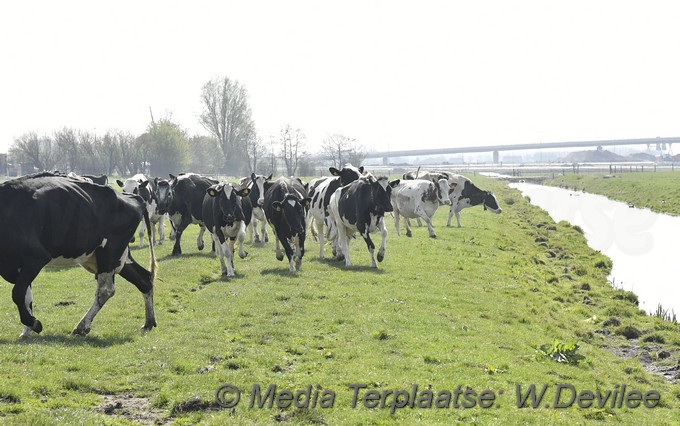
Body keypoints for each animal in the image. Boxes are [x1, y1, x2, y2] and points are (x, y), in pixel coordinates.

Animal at [0, 172, 157, 336]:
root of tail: (132, 197)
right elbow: (26, 296)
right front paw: (27, 330)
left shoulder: (36, 258)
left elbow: (18, 293)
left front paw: (34, 324)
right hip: (117, 258)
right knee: (145, 279)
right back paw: (148, 322)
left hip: (109, 253)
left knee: (105, 290)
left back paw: (81, 326)